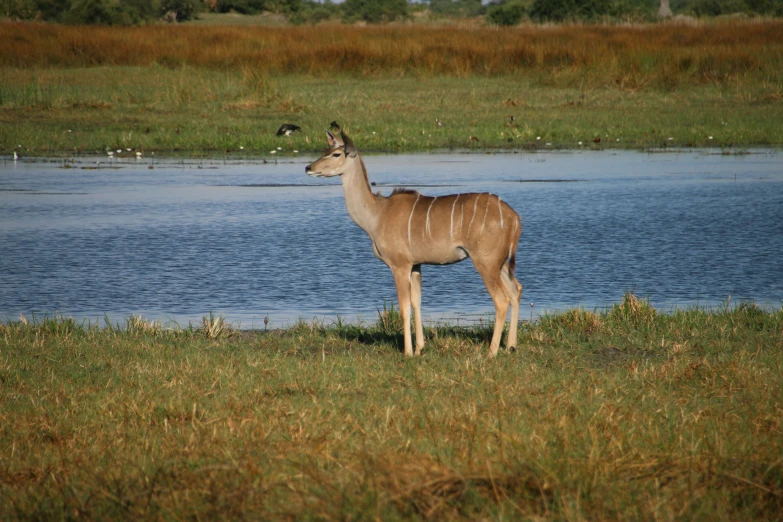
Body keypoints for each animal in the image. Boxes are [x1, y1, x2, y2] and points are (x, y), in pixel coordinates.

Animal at [304, 131, 520, 358]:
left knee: (501, 299)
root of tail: (514, 218)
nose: (308, 168)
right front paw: (419, 348)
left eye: (336, 153)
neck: (377, 214)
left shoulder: (400, 264)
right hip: (500, 263)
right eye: (326, 150)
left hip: (485, 262)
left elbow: (404, 306)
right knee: (516, 290)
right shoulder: (417, 265)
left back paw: (491, 352)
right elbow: (417, 302)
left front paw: (407, 352)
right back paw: (511, 346)